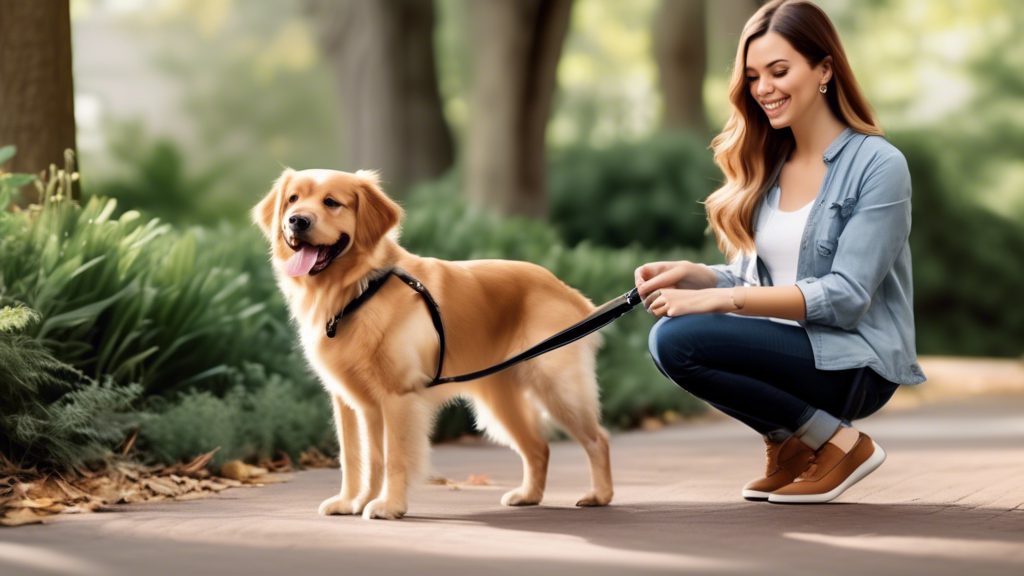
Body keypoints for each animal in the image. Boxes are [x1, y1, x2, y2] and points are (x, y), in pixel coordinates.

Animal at [251, 168, 610, 518]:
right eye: (293, 199)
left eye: (331, 202)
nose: (297, 220)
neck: (360, 290)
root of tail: (565, 287)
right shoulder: (349, 401)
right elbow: (355, 458)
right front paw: (351, 501)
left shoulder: (398, 396)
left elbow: (394, 456)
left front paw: (388, 506)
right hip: (498, 401)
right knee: (538, 447)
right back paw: (528, 495)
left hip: (557, 386)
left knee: (597, 438)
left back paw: (600, 495)